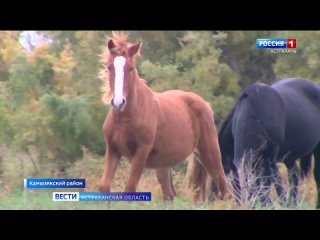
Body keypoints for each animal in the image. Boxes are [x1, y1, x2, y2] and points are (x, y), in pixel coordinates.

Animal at [99, 32, 226, 201]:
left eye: (131, 68)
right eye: (109, 67)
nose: (118, 103)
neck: (124, 119)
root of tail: (205, 104)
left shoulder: (141, 153)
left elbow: (129, 189)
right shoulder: (113, 150)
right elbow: (104, 187)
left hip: (209, 153)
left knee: (225, 189)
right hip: (164, 164)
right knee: (169, 195)